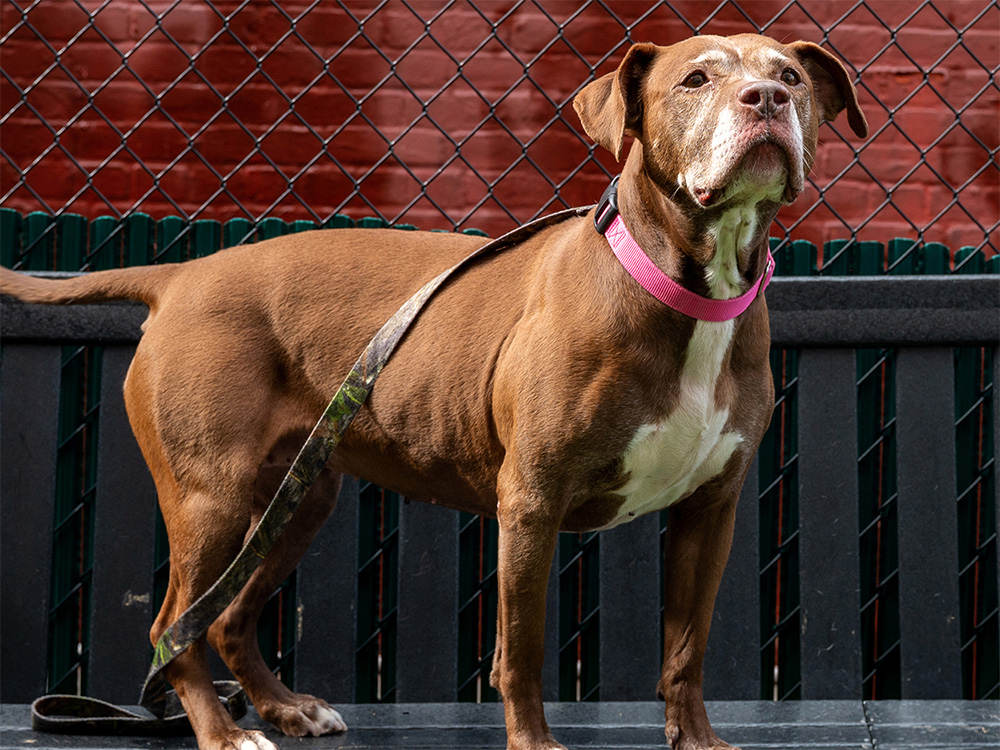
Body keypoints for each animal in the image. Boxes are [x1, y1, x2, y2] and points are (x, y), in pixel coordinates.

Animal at [0, 33, 864, 750]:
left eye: (790, 76)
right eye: (694, 79)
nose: (766, 99)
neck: (685, 286)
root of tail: (179, 274)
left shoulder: (711, 509)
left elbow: (686, 648)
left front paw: (698, 742)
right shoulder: (532, 501)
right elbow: (522, 651)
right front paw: (535, 745)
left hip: (294, 500)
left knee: (228, 618)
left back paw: (284, 708)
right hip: (210, 496)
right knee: (175, 625)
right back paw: (225, 732)